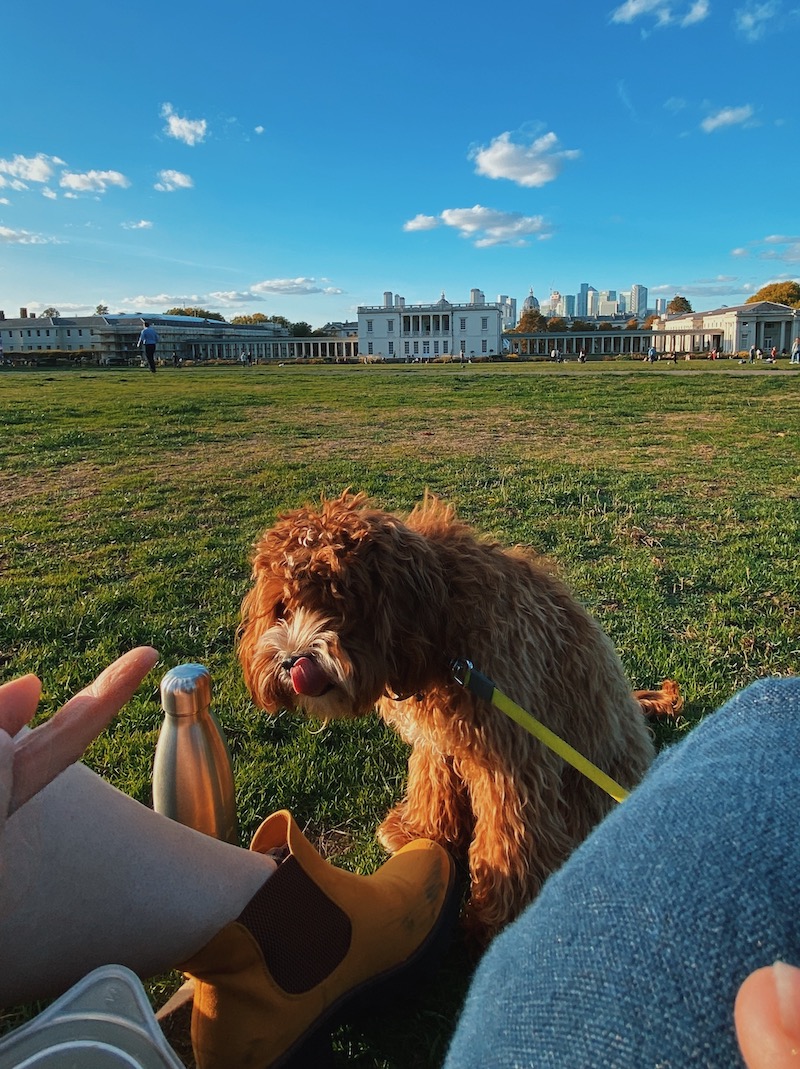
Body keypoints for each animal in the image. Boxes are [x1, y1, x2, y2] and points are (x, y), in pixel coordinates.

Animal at [239, 491, 680, 944]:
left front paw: (495, 920)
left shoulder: (512, 759)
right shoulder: (440, 738)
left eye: (336, 601)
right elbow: (432, 782)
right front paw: (419, 833)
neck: (440, 629)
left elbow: (510, 839)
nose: (292, 662)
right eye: (282, 608)